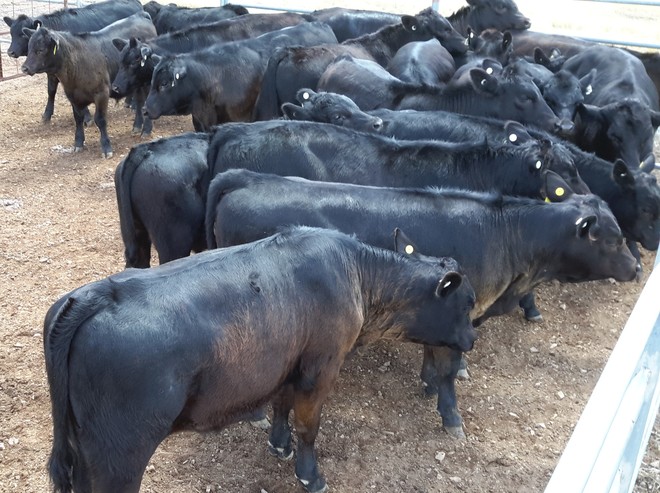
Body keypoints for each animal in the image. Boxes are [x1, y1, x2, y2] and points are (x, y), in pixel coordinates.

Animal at [3, 0, 142, 124]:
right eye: (11, 33)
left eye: (23, 34)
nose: (10, 52)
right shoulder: (52, 73)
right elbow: (51, 91)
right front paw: (47, 114)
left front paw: (87, 117)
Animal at [21, 12, 157, 157]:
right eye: (29, 48)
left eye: (40, 50)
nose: (24, 68)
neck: (78, 63)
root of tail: (141, 15)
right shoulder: (73, 96)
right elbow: (78, 119)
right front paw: (78, 142)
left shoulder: (102, 94)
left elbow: (100, 120)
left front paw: (106, 147)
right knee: (139, 102)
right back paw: (137, 125)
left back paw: (146, 129)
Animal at [43, 226, 476, 493]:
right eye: (467, 302)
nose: (471, 339)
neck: (355, 271)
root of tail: (93, 296)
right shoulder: (320, 369)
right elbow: (309, 428)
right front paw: (310, 475)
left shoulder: (288, 363)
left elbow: (282, 405)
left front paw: (278, 444)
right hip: (118, 455)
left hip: (84, 450)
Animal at [203, 169, 638, 437]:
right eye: (614, 238)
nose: (635, 267)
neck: (506, 235)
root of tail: (247, 177)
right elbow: (447, 371)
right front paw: (451, 416)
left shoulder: (443, 316)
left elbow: (435, 357)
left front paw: (428, 385)